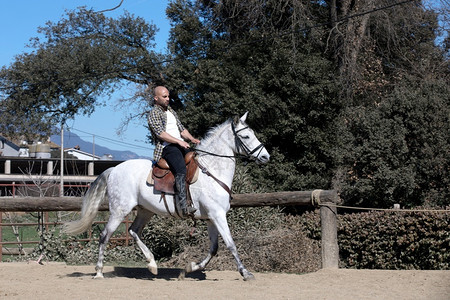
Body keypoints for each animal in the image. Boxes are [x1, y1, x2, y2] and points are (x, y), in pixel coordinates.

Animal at [62, 111, 268, 280]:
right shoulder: (217, 215)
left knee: (133, 231)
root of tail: (114, 169)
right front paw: (245, 273)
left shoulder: (211, 218)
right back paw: (98, 272)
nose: (266, 157)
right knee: (105, 235)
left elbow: (214, 248)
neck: (212, 170)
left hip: (145, 211)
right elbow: (231, 244)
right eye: (246, 136)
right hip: (120, 210)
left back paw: (152, 264)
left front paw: (190, 268)